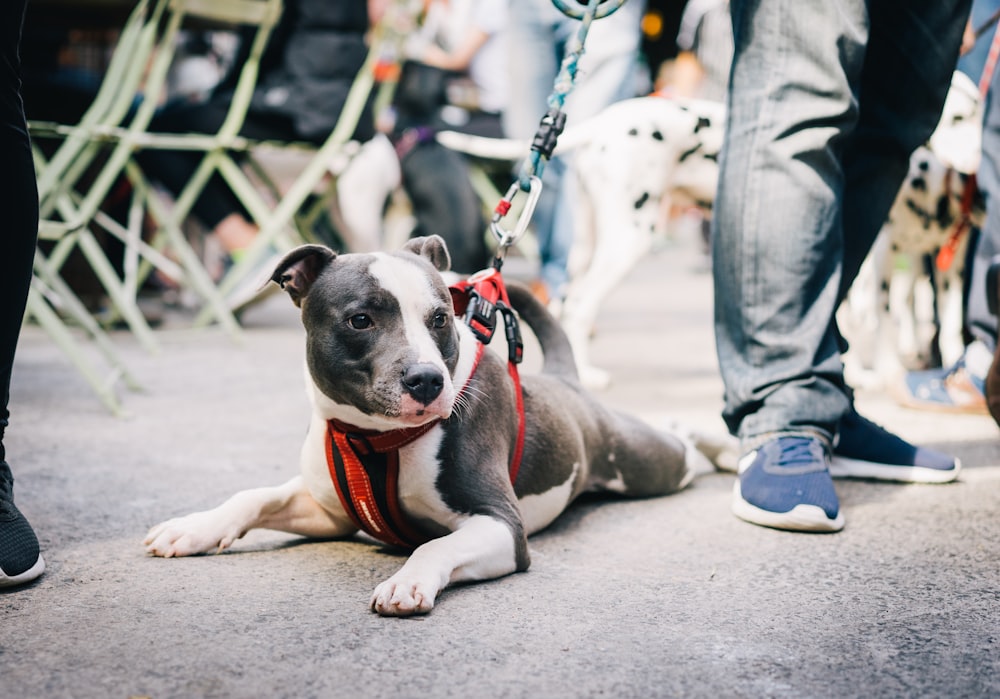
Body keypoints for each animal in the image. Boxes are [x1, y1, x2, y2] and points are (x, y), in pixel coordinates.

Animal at [143, 238, 736, 616]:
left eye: (440, 319)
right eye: (361, 319)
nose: (428, 379)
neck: (372, 438)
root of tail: (566, 382)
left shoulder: (502, 527)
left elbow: (434, 547)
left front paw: (407, 580)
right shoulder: (328, 512)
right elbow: (254, 496)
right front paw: (194, 527)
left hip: (643, 460)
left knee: (681, 445)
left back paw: (724, 448)